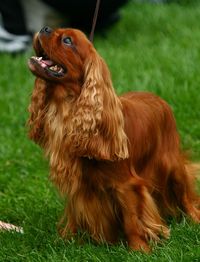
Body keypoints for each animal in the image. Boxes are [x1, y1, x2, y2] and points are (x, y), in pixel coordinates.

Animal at [27, 26, 200, 252]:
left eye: (67, 41)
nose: (44, 28)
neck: (68, 110)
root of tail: (159, 98)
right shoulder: (76, 184)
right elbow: (74, 212)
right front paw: (67, 240)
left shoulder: (126, 185)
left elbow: (132, 219)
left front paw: (139, 249)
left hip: (172, 166)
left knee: (186, 195)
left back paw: (195, 218)